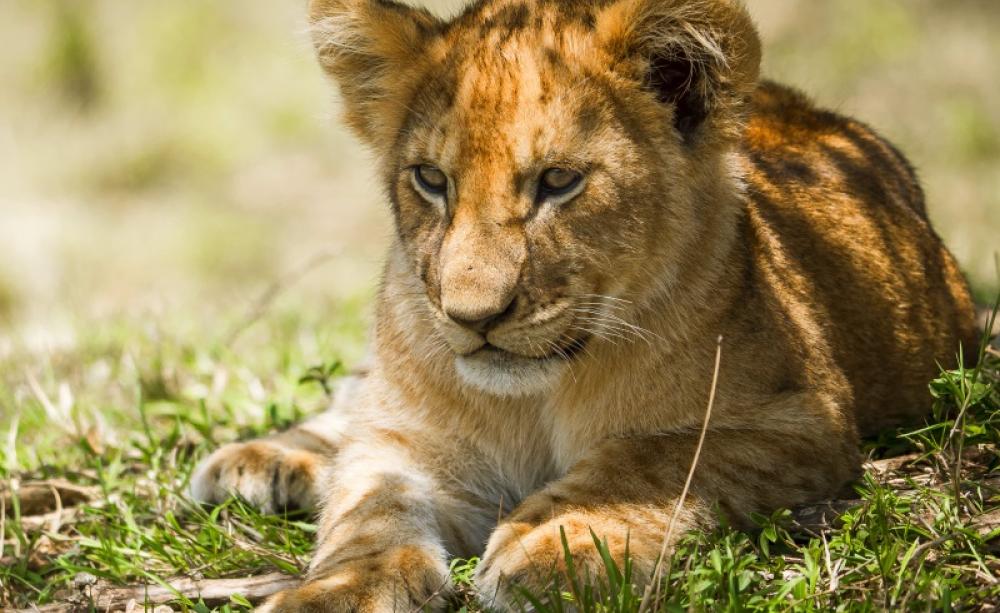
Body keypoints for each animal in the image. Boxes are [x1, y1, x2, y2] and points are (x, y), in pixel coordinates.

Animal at [190, 0, 979, 609]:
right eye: (430, 180)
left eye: (559, 181)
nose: (473, 318)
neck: (532, 401)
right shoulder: (401, 442)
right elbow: (369, 508)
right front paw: (336, 588)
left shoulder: (802, 419)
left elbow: (651, 453)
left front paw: (555, 544)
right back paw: (260, 459)